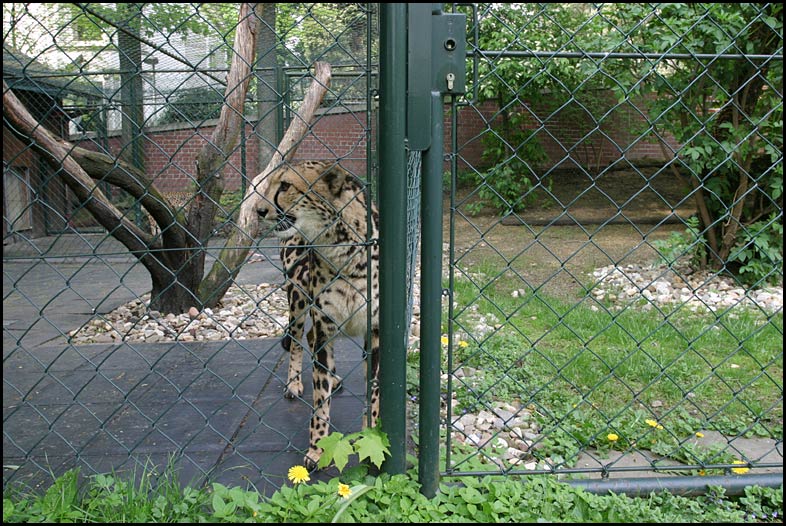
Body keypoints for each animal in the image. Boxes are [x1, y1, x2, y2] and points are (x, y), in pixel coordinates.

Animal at [258, 160, 380, 470]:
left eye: (285, 185)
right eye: (269, 184)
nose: (259, 211)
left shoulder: (375, 332)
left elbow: (374, 390)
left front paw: (373, 432)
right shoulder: (325, 325)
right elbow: (320, 397)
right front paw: (317, 448)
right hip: (298, 299)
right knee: (300, 338)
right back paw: (294, 383)